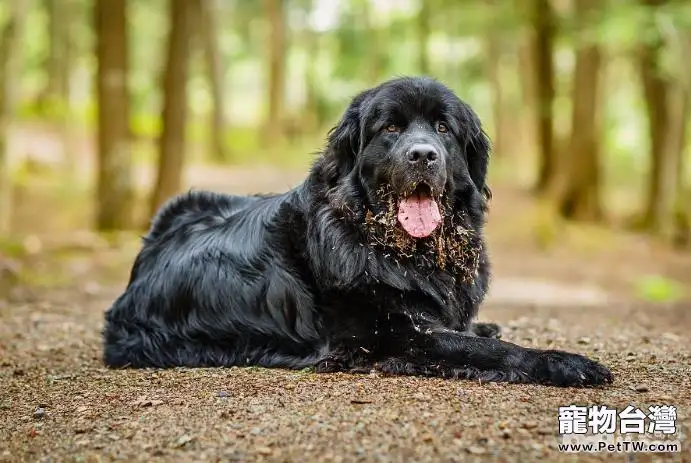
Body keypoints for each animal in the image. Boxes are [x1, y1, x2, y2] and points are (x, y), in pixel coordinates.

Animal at [101, 77, 612, 388]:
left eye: (443, 127)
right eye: (391, 128)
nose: (423, 155)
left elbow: (474, 332)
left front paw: (483, 323)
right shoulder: (398, 337)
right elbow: (489, 350)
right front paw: (565, 362)